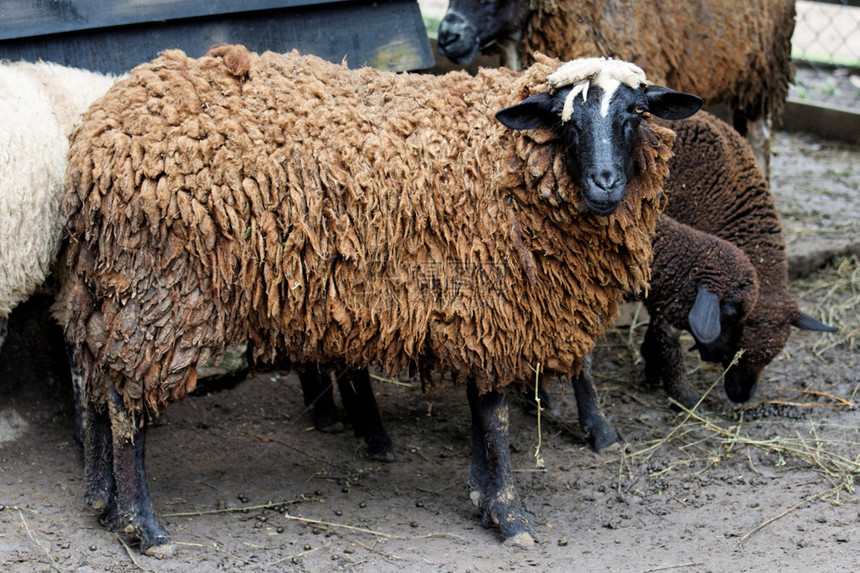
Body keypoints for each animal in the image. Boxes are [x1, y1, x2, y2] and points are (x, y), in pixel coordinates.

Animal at [63, 47, 704, 552]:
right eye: (567, 120)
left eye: (635, 113)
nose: (605, 183)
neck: (505, 160)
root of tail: (95, 136)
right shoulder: (490, 304)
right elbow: (494, 414)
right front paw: (508, 513)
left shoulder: (474, 312)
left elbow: (482, 411)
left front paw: (481, 495)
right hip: (161, 289)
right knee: (124, 402)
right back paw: (142, 527)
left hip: (106, 283)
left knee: (91, 375)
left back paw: (99, 500)